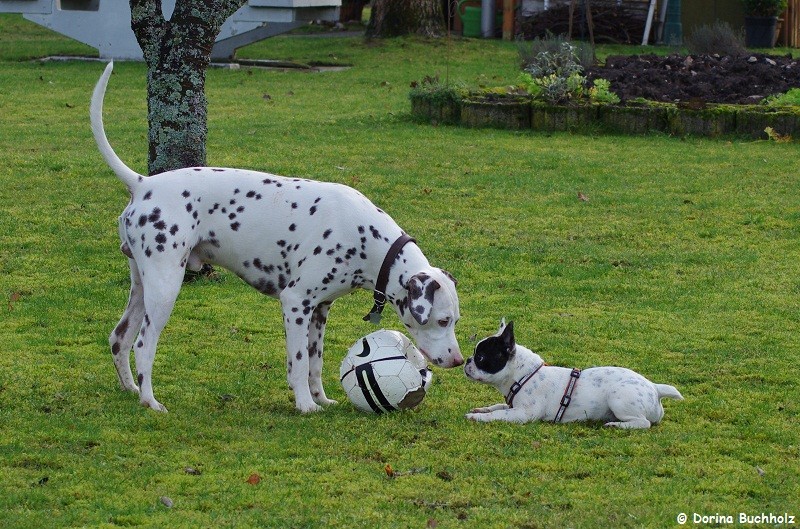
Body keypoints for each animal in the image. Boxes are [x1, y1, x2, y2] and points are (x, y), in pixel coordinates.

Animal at [90, 63, 462, 412]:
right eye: (443, 320)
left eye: (455, 320)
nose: (459, 360)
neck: (367, 239)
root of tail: (144, 184)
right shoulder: (296, 303)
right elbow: (298, 364)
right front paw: (305, 405)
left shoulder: (319, 310)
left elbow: (315, 364)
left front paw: (321, 399)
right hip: (165, 288)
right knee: (142, 345)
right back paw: (150, 401)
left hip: (142, 287)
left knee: (119, 338)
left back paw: (131, 390)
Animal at [462, 320, 680, 426]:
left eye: (481, 357)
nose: (467, 361)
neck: (522, 375)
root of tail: (654, 388)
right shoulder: (512, 405)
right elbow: (497, 406)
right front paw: (482, 410)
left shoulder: (523, 413)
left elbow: (499, 414)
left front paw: (477, 418)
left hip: (618, 398)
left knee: (643, 423)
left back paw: (616, 425)